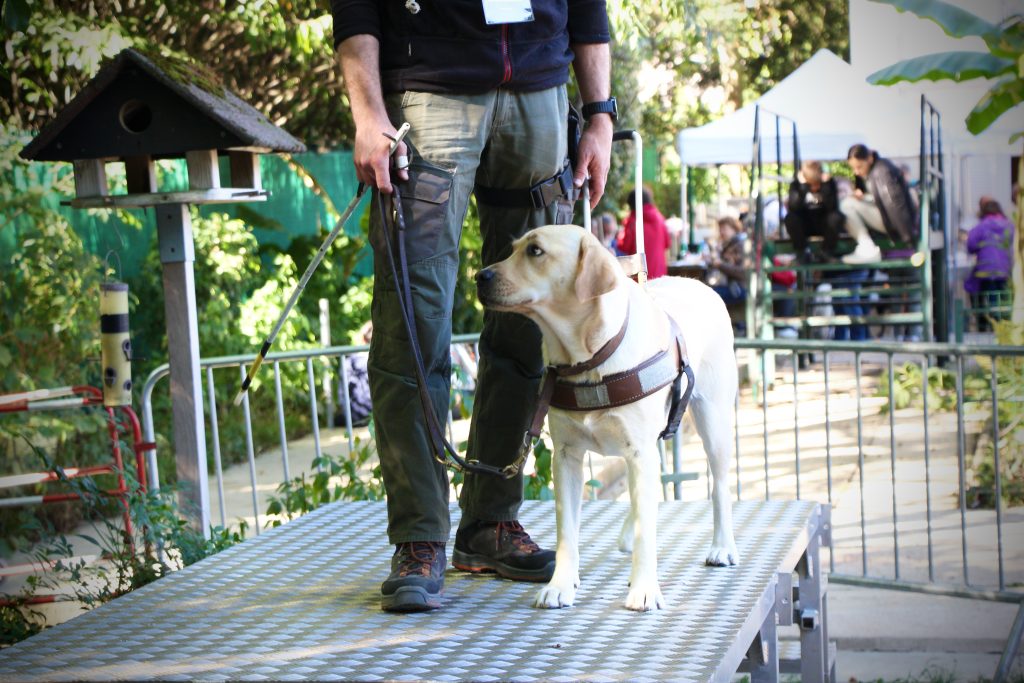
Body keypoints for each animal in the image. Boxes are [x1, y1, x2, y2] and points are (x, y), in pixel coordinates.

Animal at [475, 225, 741, 614]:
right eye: (513, 249)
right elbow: (567, 531)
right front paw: (560, 585)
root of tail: (701, 285)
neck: (587, 359)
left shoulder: (639, 451)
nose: (479, 277)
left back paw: (722, 547)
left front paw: (644, 589)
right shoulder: (566, 458)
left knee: (719, 486)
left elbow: (649, 531)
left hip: (714, 421)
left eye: (536, 251)